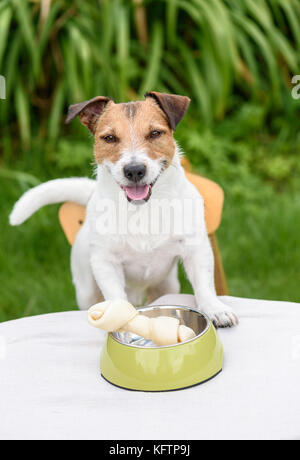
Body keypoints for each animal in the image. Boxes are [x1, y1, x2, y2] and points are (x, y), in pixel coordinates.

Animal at [9, 90, 238, 328]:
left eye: (155, 133)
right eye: (110, 138)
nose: (134, 170)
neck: (142, 210)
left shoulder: (196, 250)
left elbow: (205, 285)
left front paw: (215, 309)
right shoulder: (106, 263)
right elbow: (116, 296)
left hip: (166, 285)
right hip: (86, 289)